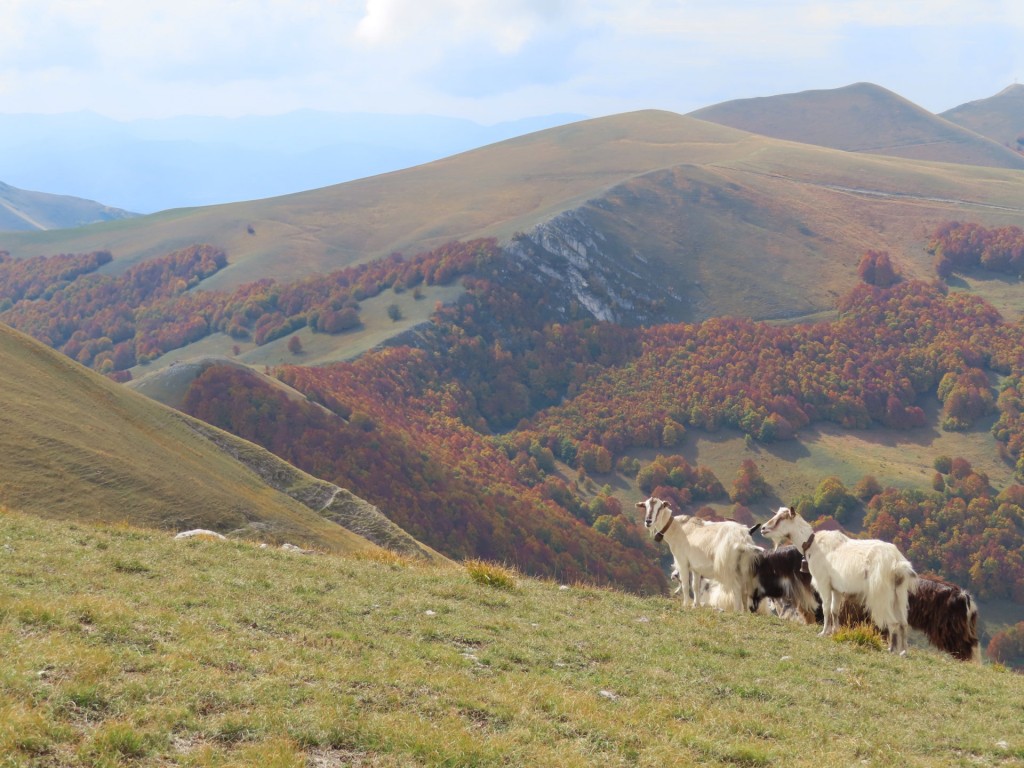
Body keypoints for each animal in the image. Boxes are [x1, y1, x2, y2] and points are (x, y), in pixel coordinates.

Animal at [761, 507, 921, 659]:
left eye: (782, 518)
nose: (763, 528)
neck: (812, 544)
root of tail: (898, 563)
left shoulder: (823, 583)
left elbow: (825, 608)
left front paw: (823, 632)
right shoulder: (836, 589)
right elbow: (835, 610)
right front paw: (835, 632)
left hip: (881, 594)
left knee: (893, 622)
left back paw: (892, 650)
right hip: (899, 594)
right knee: (903, 622)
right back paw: (903, 652)